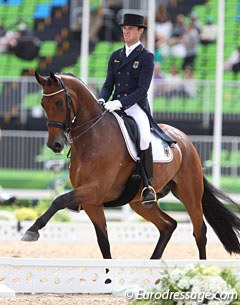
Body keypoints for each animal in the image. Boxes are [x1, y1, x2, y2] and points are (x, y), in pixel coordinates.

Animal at [21, 72, 240, 258]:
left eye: (59, 103)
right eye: (42, 104)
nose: (55, 144)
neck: (92, 137)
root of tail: (184, 140)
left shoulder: (95, 190)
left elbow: (59, 200)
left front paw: (32, 230)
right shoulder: (92, 201)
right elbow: (103, 242)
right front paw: (108, 279)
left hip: (190, 193)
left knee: (199, 231)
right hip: (140, 202)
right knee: (168, 225)